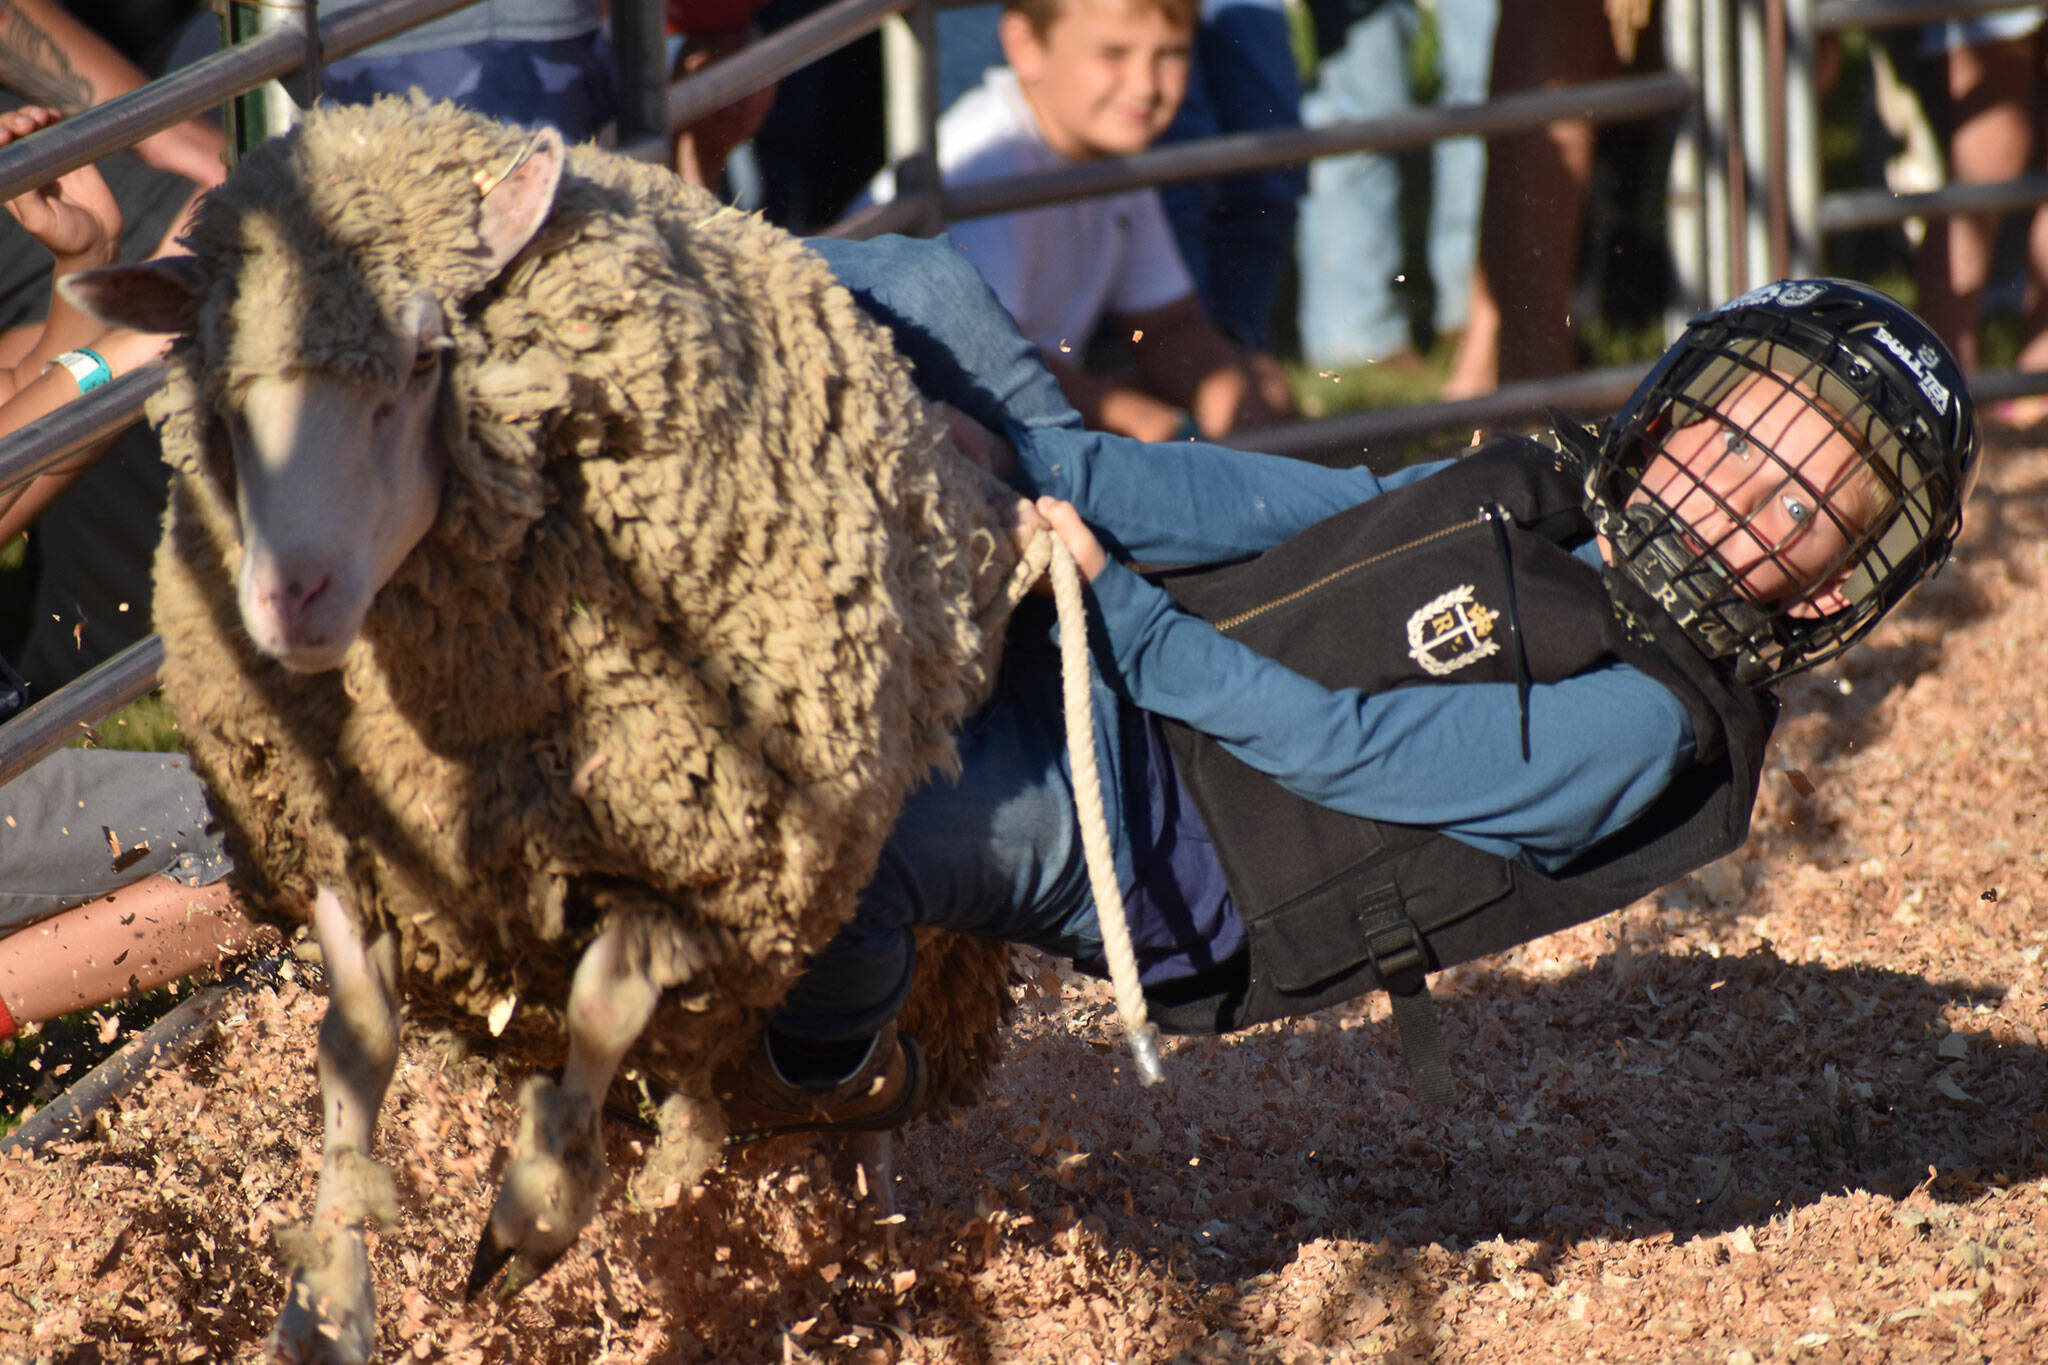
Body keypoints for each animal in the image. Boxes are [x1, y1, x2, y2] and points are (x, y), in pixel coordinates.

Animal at [70, 98, 1032, 1365]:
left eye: (425, 359)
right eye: (224, 390)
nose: (290, 600)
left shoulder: (693, 872)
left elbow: (601, 1007)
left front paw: (526, 1225)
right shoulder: (347, 850)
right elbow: (353, 1043)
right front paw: (327, 1297)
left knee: (869, 1095)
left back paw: (880, 1242)